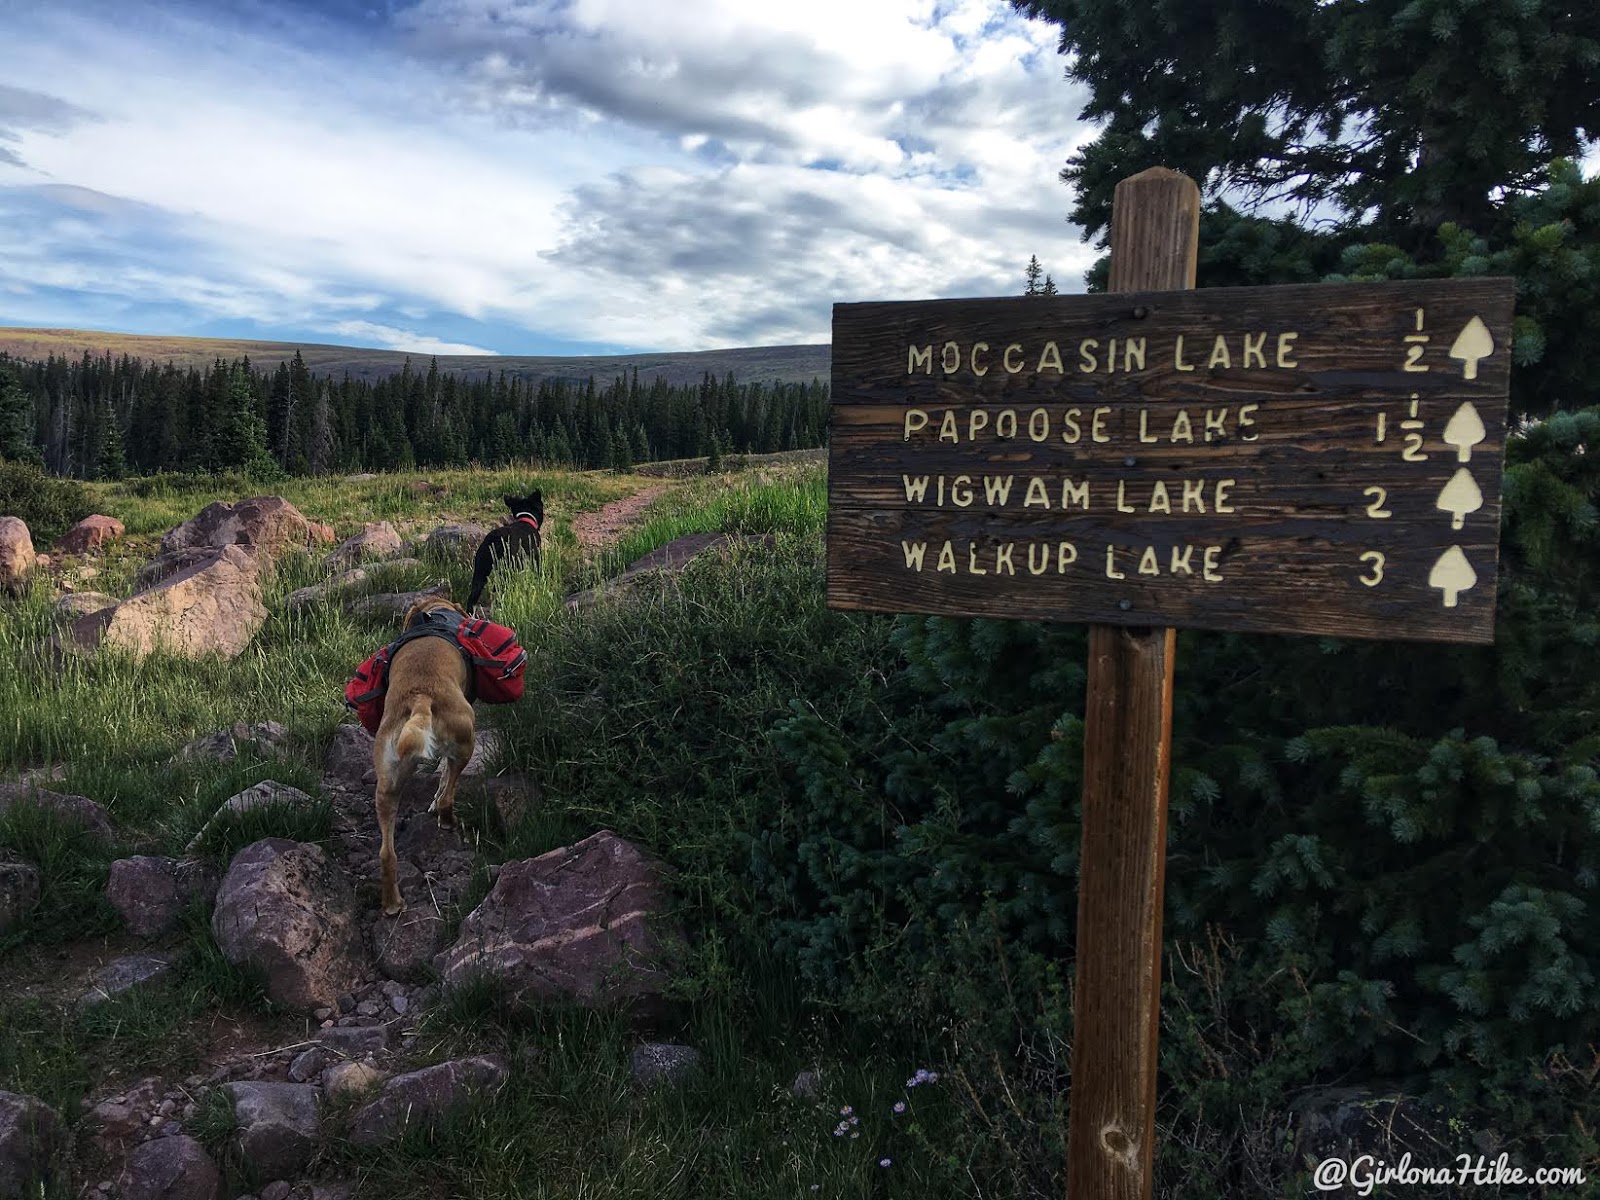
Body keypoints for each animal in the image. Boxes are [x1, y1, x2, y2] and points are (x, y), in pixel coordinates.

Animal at [374, 598, 473, 915]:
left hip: (387, 785)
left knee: (386, 854)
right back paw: (448, 821)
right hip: (466, 741)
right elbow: (443, 778)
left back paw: (392, 904)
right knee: (446, 797)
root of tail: (420, 696)